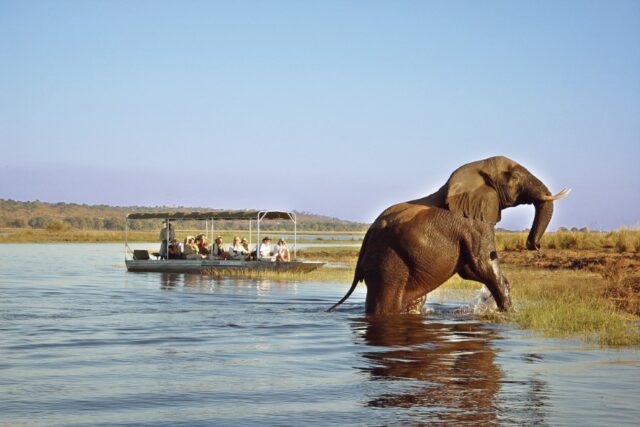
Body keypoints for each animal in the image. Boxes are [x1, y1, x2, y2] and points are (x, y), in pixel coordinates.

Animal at [330, 155, 568, 316]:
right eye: (516, 178)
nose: (534, 245)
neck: (477, 168)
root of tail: (366, 240)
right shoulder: (474, 224)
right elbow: (483, 266)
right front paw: (508, 314)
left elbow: (470, 270)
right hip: (387, 262)